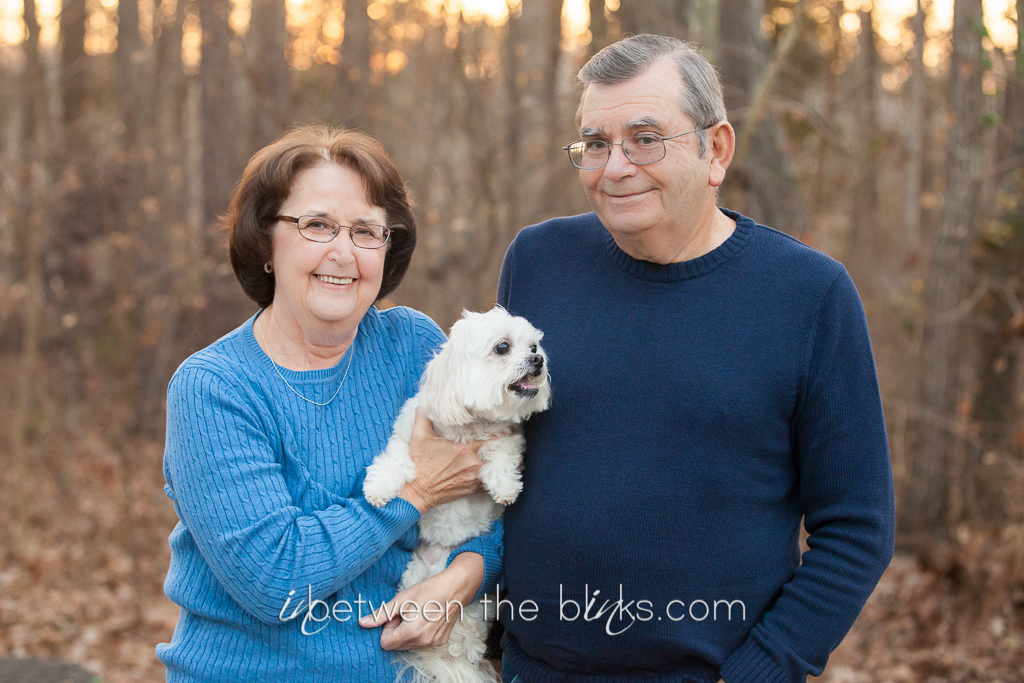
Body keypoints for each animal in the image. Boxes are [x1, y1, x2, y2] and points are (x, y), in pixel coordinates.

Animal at [363, 306, 551, 683]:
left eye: (533, 345)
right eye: (503, 347)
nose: (538, 359)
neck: (470, 426)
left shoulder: (510, 437)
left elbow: (501, 449)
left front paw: (504, 484)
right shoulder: (409, 431)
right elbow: (398, 458)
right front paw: (378, 487)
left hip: (471, 606)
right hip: (416, 575)